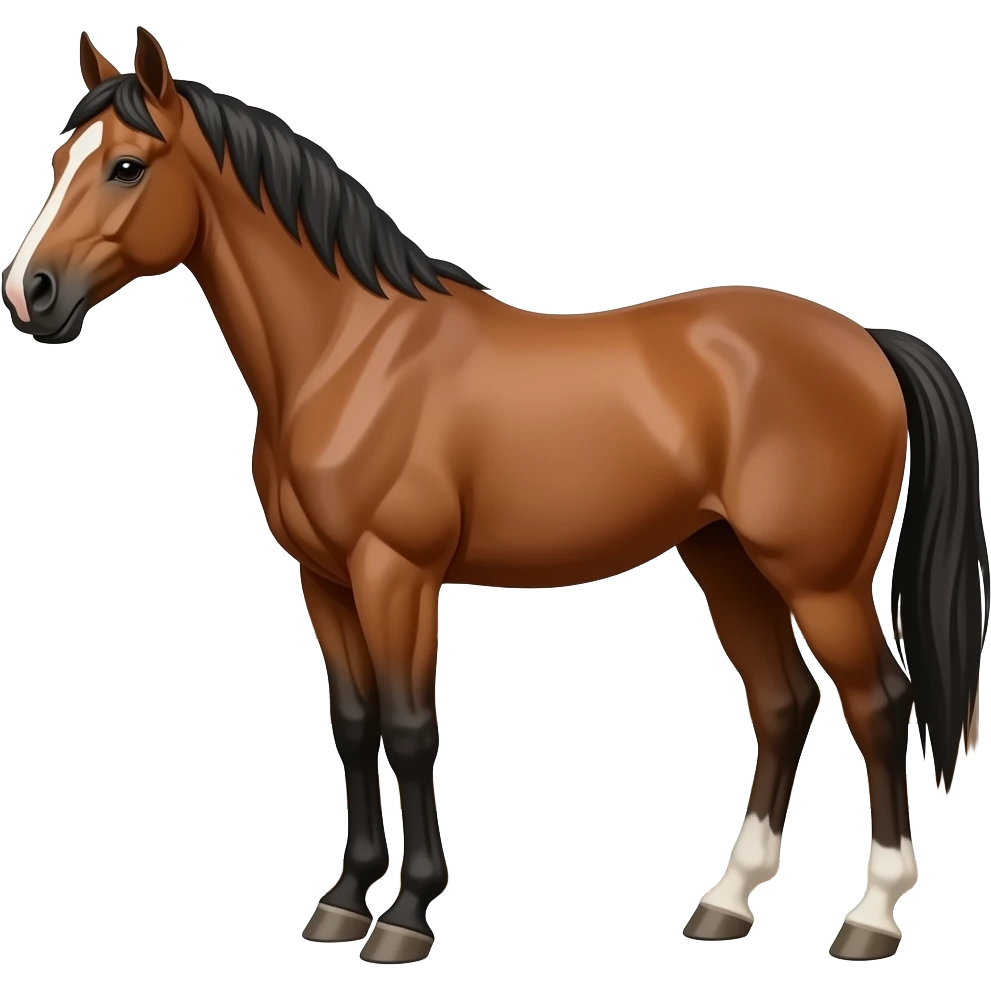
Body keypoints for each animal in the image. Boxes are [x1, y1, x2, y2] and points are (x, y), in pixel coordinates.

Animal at [2, 27, 987, 966]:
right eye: (58, 159)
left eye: (127, 166)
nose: (29, 292)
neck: (349, 353)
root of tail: (865, 340)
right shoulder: (324, 581)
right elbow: (352, 725)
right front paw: (341, 900)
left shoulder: (395, 574)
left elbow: (408, 726)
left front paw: (405, 915)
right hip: (726, 559)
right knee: (782, 702)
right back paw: (724, 901)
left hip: (817, 578)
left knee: (878, 704)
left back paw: (871, 917)